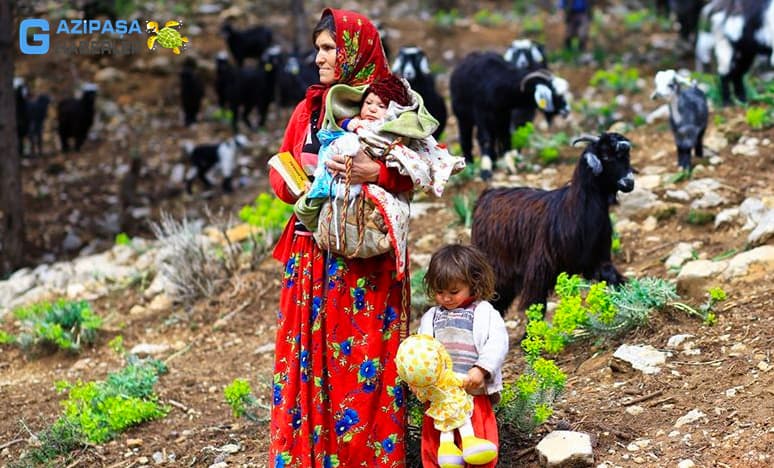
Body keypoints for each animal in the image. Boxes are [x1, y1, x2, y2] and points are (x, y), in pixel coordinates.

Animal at [448, 51, 568, 179]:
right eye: (555, 94)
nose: (567, 110)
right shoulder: (481, 113)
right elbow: (485, 139)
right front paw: (485, 171)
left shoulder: (503, 115)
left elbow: (506, 138)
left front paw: (510, 167)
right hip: (462, 117)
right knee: (466, 140)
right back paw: (470, 165)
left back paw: (494, 163)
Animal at [472, 132, 636, 314]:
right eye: (606, 156)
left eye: (627, 156)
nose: (629, 182)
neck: (573, 209)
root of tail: (485, 197)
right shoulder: (539, 271)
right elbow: (535, 307)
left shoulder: (599, 260)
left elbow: (614, 279)